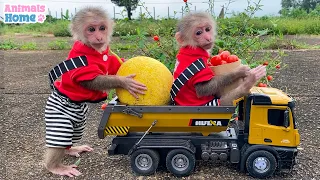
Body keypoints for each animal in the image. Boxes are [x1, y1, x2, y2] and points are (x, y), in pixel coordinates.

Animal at [43, 5, 147, 177]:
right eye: (91, 29)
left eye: (102, 28)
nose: (99, 37)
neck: (94, 51)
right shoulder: (81, 61)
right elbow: (92, 81)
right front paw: (124, 82)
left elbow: (118, 63)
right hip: (59, 115)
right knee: (61, 137)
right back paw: (55, 166)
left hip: (79, 124)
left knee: (73, 136)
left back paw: (71, 150)